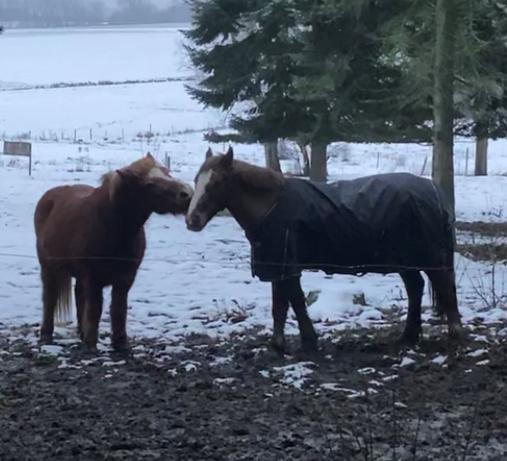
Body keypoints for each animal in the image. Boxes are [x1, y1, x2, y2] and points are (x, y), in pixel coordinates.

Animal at [33, 153, 192, 350]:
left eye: (167, 172)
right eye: (149, 184)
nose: (187, 194)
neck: (112, 225)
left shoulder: (125, 278)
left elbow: (118, 309)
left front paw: (120, 343)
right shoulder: (94, 279)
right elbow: (95, 309)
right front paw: (91, 345)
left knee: (79, 296)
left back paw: (81, 332)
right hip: (48, 268)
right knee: (50, 298)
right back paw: (47, 335)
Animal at [188, 147, 464, 352]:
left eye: (218, 181)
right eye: (196, 180)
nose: (192, 220)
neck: (272, 205)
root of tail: (435, 193)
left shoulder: (289, 264)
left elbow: (296, 301)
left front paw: (309, 341)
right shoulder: (277, 264)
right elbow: (279, 305)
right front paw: (277, 345)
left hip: (431, 257)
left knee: (445, 287)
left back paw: (454, 333)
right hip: (406, 260)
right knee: (415, 288)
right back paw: (408, 336)